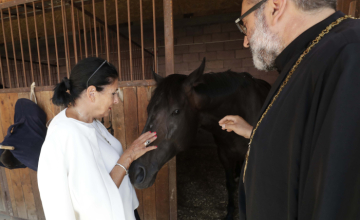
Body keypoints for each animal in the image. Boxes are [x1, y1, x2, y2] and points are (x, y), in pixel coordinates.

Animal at [129, 58, 270, 220]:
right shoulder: (224, 154)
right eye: (148, 109)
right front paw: (229, 211)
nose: (135, 173)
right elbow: (230, 184)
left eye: (176, 111)